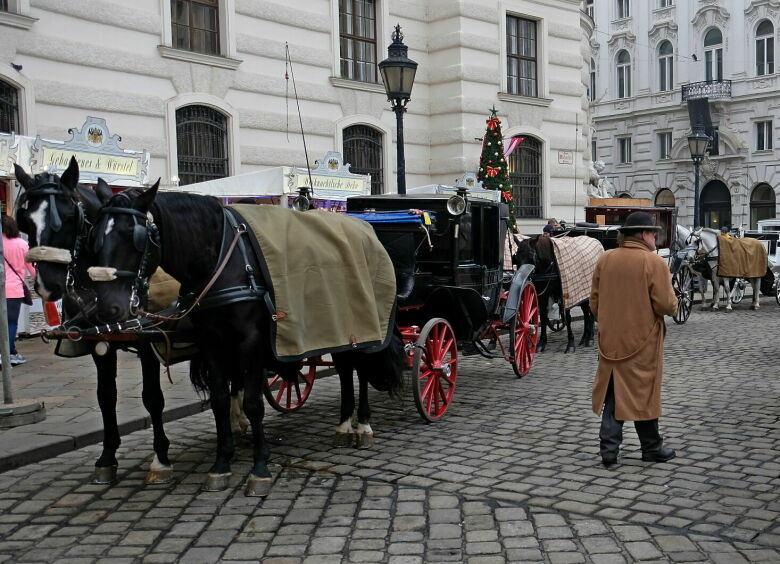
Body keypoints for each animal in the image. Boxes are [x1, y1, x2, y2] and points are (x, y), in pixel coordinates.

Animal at [12, 159, 174, 484]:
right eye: (27, 221)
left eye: (68, 217)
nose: (47, 286)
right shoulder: (100, 341)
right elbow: (105, 396)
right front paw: (107, 456)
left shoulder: (148, 341)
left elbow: (152, 396)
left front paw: (161, 457)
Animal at [89, 184, 406, 494]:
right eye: (96, 235)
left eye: (135, 237)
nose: (106, 309)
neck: (219, 259)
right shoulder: (212, 342)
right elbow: (218, 399)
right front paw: (222, 463)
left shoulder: (251, 341)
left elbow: (254, 404)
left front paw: (260, 467)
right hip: (339, 325)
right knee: (344, 369)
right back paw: (343, 426)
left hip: (364, 322)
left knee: (360, 370)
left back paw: (361, 426)